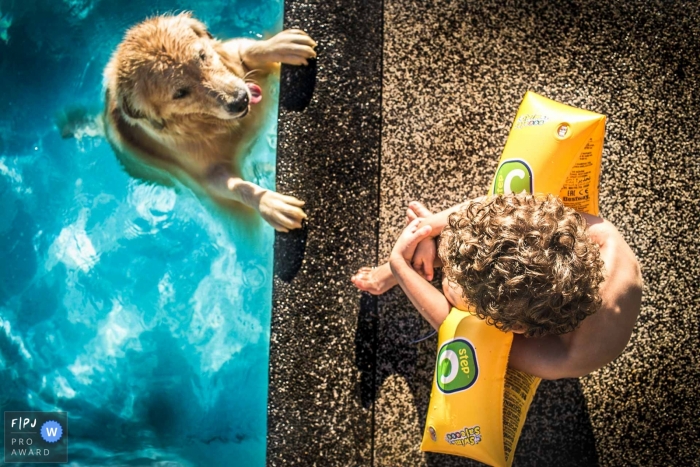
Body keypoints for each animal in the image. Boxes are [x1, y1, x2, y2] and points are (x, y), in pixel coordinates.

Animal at [102, 13, 316, 233]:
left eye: (202, 56)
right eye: (180, 93)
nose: (240, 100)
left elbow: (246, 50)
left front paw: (281, 45)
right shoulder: (207, 177)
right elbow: (236, 187)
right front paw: (270, 204)